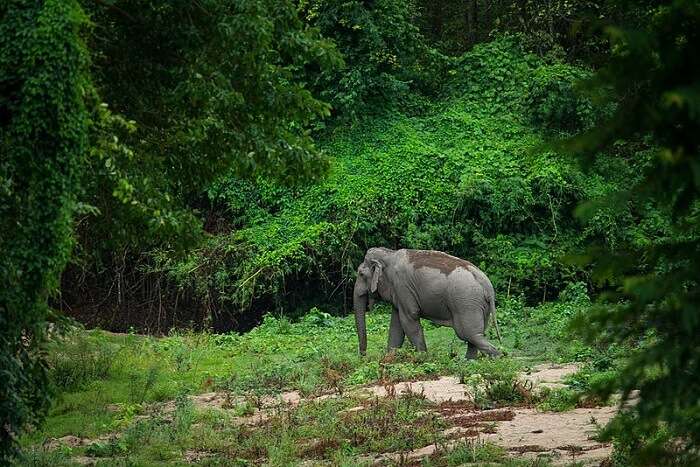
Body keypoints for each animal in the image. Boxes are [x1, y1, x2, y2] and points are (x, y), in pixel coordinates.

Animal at [352, 247, 500, 360]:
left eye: (361, 274)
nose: (363, 357)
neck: (389, 254)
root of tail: (488, 286)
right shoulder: (399, 293)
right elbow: (396, 325)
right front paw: (389, 360)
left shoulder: (403, 287)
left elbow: (409, 320)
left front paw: (422, 359)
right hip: (479, 305)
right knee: (475, 335)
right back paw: (469, 362)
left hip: (466, 303)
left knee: (469, 334)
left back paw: (497, 358)